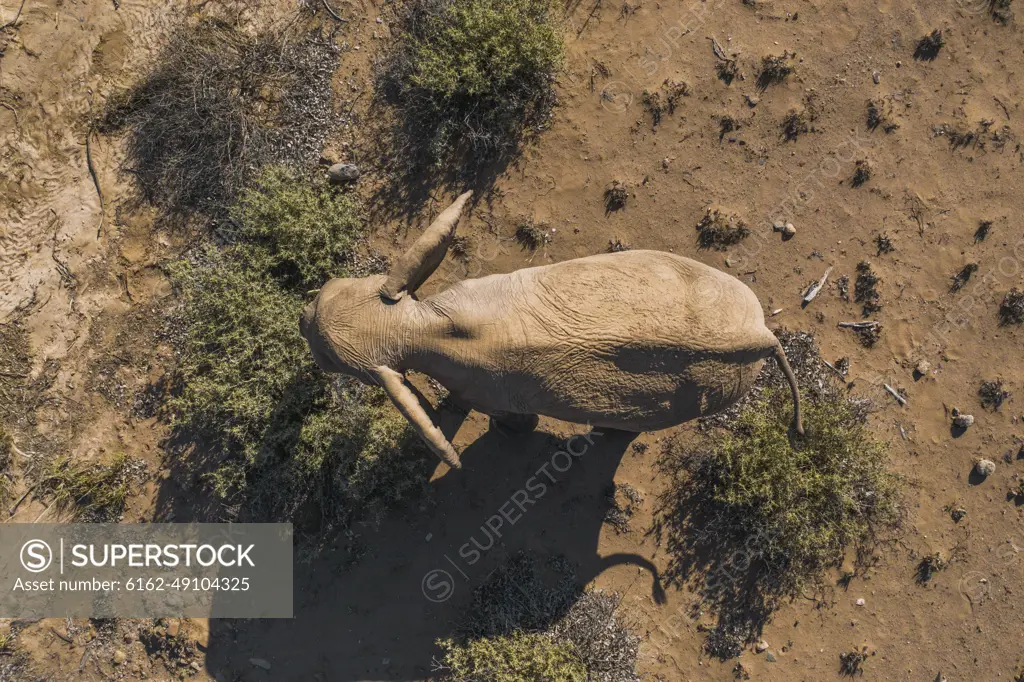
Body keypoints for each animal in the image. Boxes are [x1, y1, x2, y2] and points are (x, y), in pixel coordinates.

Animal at [299, 191, 802, 466]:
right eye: (330, 288)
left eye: (328, 359)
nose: (303, 316)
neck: (421, 327)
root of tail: (760, 335)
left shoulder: (483, 387)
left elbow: (512, 421)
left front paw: (504, 433)